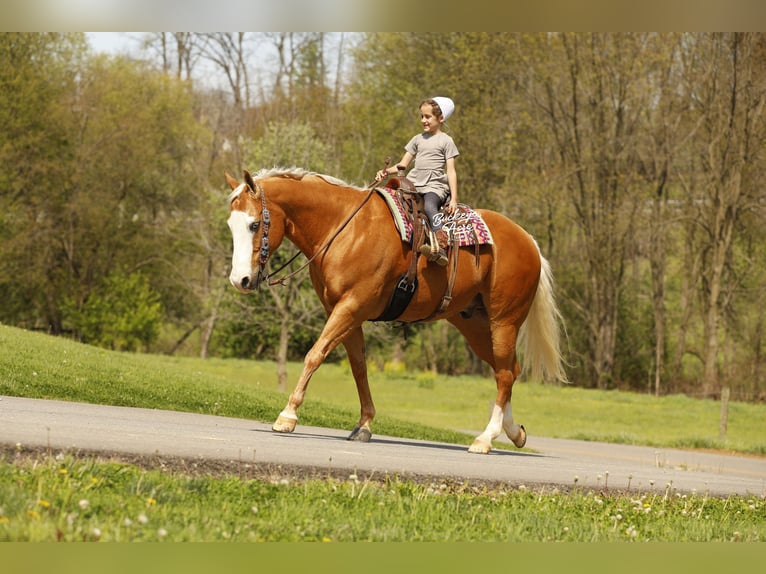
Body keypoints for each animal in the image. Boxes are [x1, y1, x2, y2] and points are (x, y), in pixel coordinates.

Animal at [225, 167, 566, 454]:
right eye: (231, 225)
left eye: (254, 224)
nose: (240, 280)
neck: (344, 229)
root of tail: (528, 241)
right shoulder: (346, 313)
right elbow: (359, 367)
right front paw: (364, 424)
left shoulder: (350, 307)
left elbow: (315, 354)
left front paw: (288, 415)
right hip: (476, 326)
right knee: (507, 370)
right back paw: (514, 432)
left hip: (504, 322)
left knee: (506, 375)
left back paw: (485, 438)